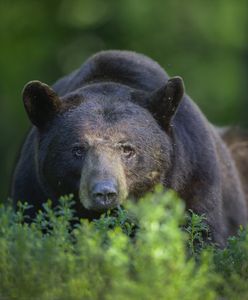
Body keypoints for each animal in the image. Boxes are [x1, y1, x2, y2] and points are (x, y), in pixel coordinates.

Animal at [12, 49, 248, 246]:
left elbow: (201, 235)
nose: (104, 192)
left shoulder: (195, 178)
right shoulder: (33, 191)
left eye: (127, 149)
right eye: (77, 149)